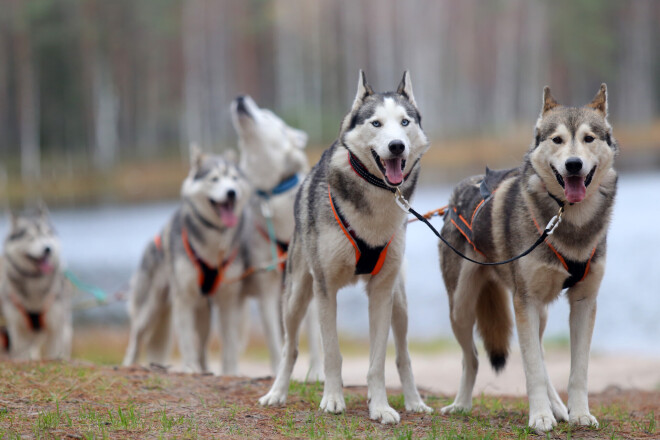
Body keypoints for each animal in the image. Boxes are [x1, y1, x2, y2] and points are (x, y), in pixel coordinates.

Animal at [0, 205, 72, 360]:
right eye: (30, 238)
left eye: (46, 234)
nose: (47, 249)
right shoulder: (18, 329)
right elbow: (21, 355)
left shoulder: (55, 327)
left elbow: (54, 353)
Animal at [122, 147, 250, 372]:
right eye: (214, 179)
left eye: (234, 178)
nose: (231, 192)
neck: (214, 242)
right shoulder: (183, 299)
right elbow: (187, 341)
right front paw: (190, 369)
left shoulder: (228, 300)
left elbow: (229, 345)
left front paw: (230, 372)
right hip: (152, 307)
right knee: (137, 335)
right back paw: (130, 363)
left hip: (203, 313)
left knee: (202, 346)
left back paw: (205, 370)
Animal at [231, 94, 324, 380]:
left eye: (268, 115)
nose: (240, 98)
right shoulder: (266, 290)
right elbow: (274, 341)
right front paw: (277, 373)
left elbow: (314, 339)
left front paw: (317, 374)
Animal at [258, 71, 434, 422]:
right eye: (376, 123)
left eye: (405, 122)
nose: (397, 145)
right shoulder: (326, 289)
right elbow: (331, 354)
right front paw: (333, 400)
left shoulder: (382, 291)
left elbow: (378, 362)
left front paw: (380, 407)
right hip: (296, 296)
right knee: (289, 349)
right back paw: (277, 393)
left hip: (399, 302)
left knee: (403, 355)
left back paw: (414, 401)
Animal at [438, 84, 620, 432]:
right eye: (557, 139)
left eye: (589, 138)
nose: (574, 164)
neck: (567, 220)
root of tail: (455, 196)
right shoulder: (525, 303)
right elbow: (532, 367)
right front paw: (540, 417)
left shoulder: (584, 302)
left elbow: (578, 370)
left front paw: (578, 414)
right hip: (461, 308)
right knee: (473, 358)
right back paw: (461, 405)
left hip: (539, 312)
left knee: (541, 354)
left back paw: (560, 408)